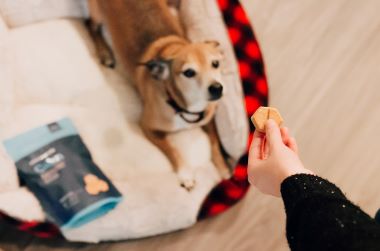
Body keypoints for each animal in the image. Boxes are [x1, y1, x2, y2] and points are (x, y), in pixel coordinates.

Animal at [87, 0, 233, 189]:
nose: (216, 88)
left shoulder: (209, 120)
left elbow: (214, 143)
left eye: (215, 63)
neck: (184, 108)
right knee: (90, 24)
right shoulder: (148, 127)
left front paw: (223, 167)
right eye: (189, 72)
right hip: (97, 14)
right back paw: (105, 53)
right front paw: (185, 173)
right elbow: (172, 149)